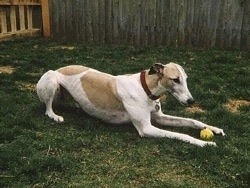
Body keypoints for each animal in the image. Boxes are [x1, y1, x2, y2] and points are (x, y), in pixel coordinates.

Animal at [36, 63, 225, 147]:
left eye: (185, 79)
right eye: (175, 79)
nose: (191, 101)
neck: (145, 87)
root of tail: (59, 69)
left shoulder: (160, 117)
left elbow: (193, 121)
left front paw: (214, 129)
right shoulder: (146, 128)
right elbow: (180, 135)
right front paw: (205, 143)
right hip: (51, 80)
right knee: (47, 108)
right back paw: (55, 116)